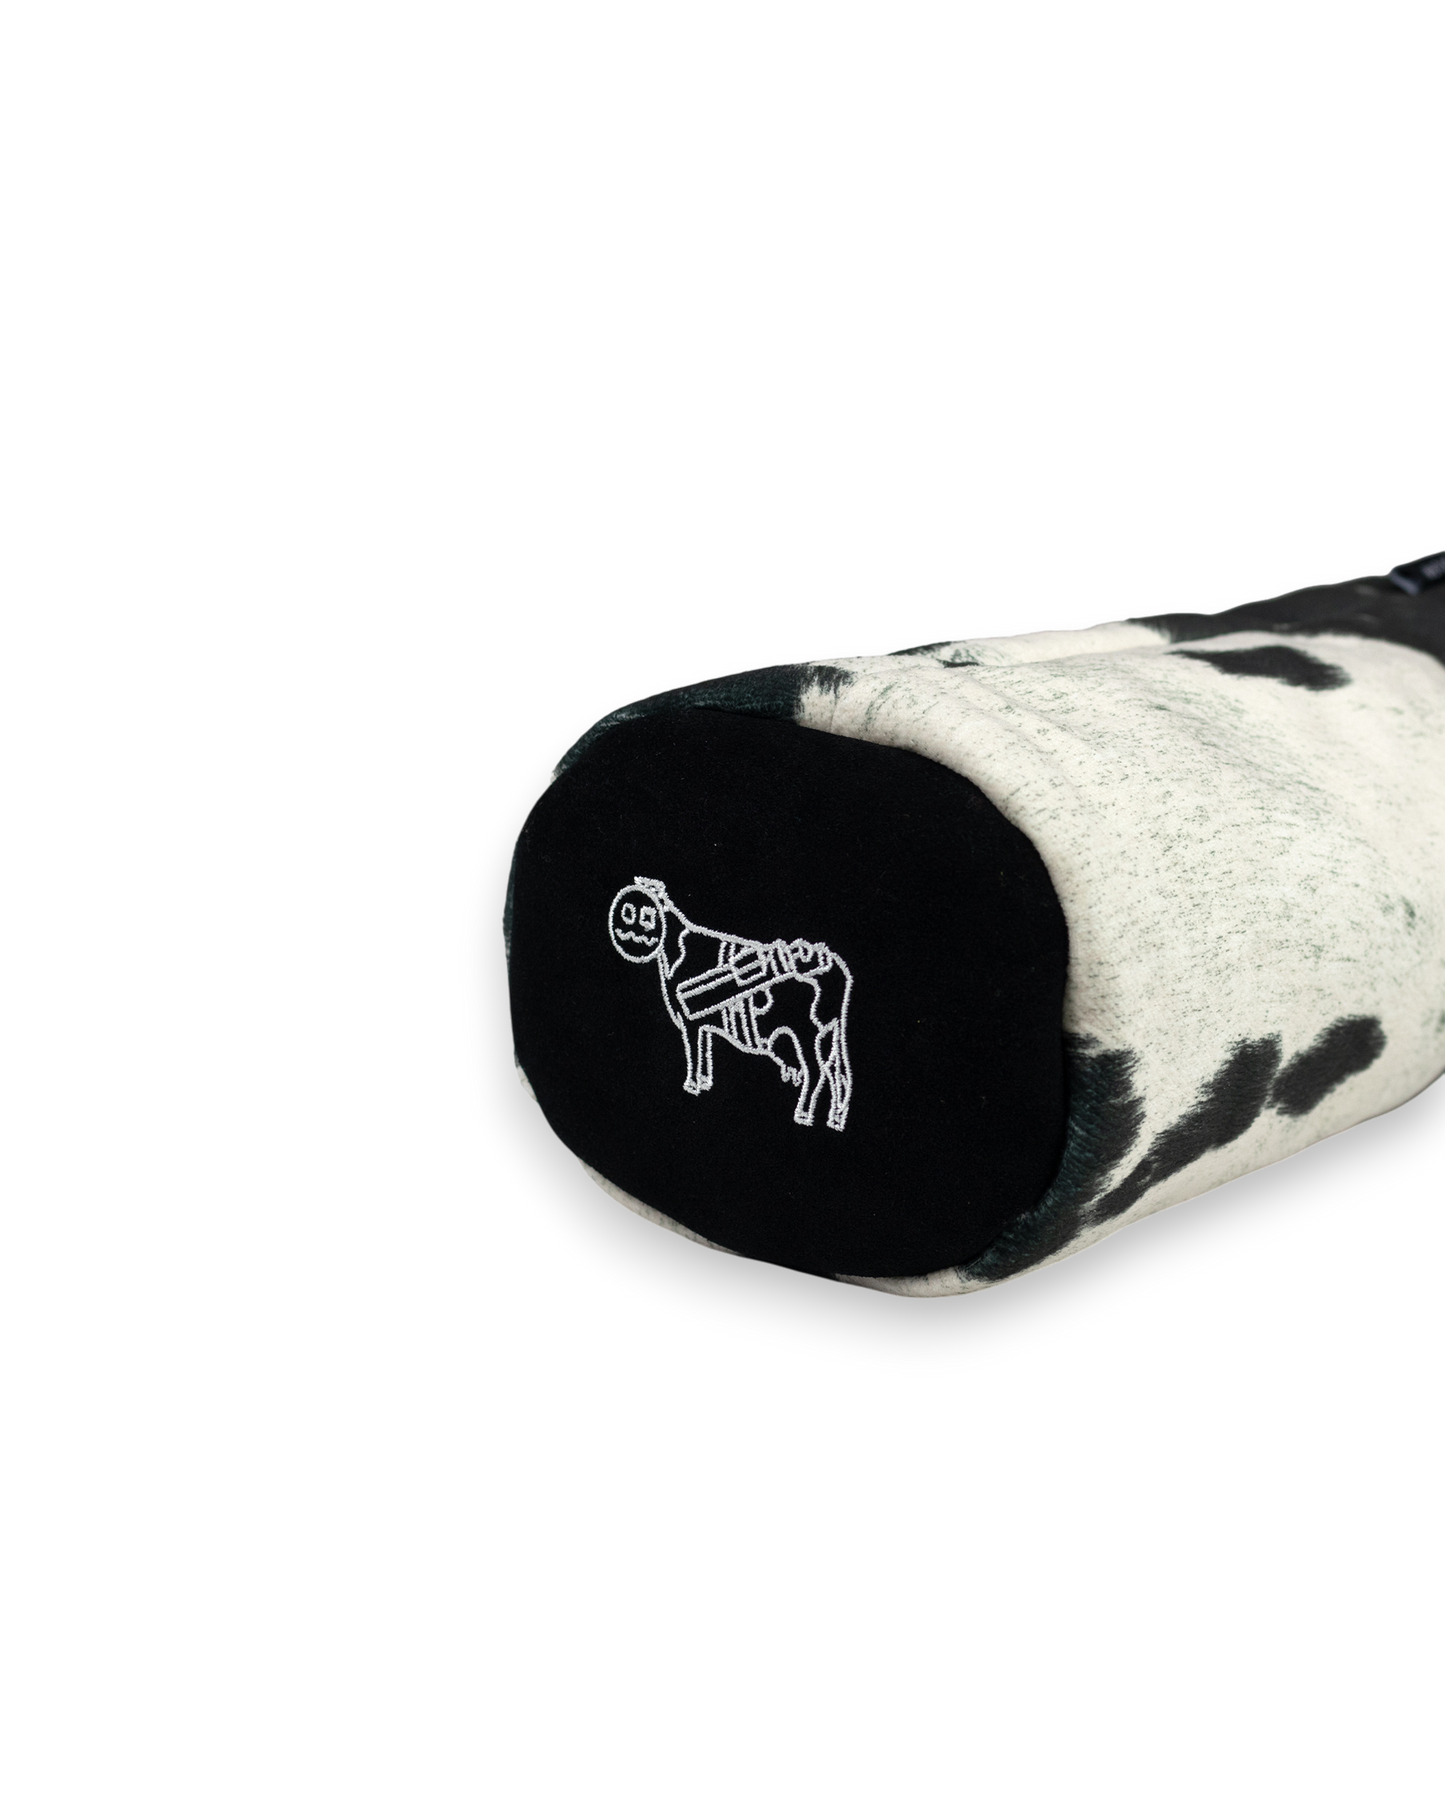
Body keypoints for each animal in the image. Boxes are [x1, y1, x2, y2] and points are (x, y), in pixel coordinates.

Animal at [608, 878, 854, 1131]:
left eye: (643, 912)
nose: (627, 927)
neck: (674, 957)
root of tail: (834, 967)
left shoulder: (689, 1021)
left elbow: (693, 1053)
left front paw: (692, 1085)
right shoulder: (702, 1023)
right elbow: (703, 1051)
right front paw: (704, 1082)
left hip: (808, 1031)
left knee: (816, 1071)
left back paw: (804, 1114)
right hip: (830, 1032)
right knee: (837, 1076)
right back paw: (834, 1118)